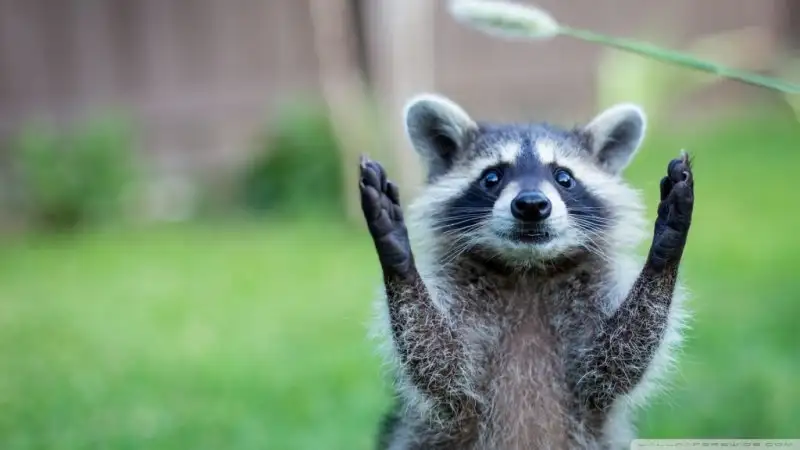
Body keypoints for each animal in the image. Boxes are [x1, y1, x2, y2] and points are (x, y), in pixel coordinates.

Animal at [359, 93, 695, 450]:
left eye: (564, 177)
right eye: (492, 177)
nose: (531, 204)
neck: (527, 270)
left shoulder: (593, 308)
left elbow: (617, 358)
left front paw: (665, 251)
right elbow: (440, 361)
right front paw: (399, 258)